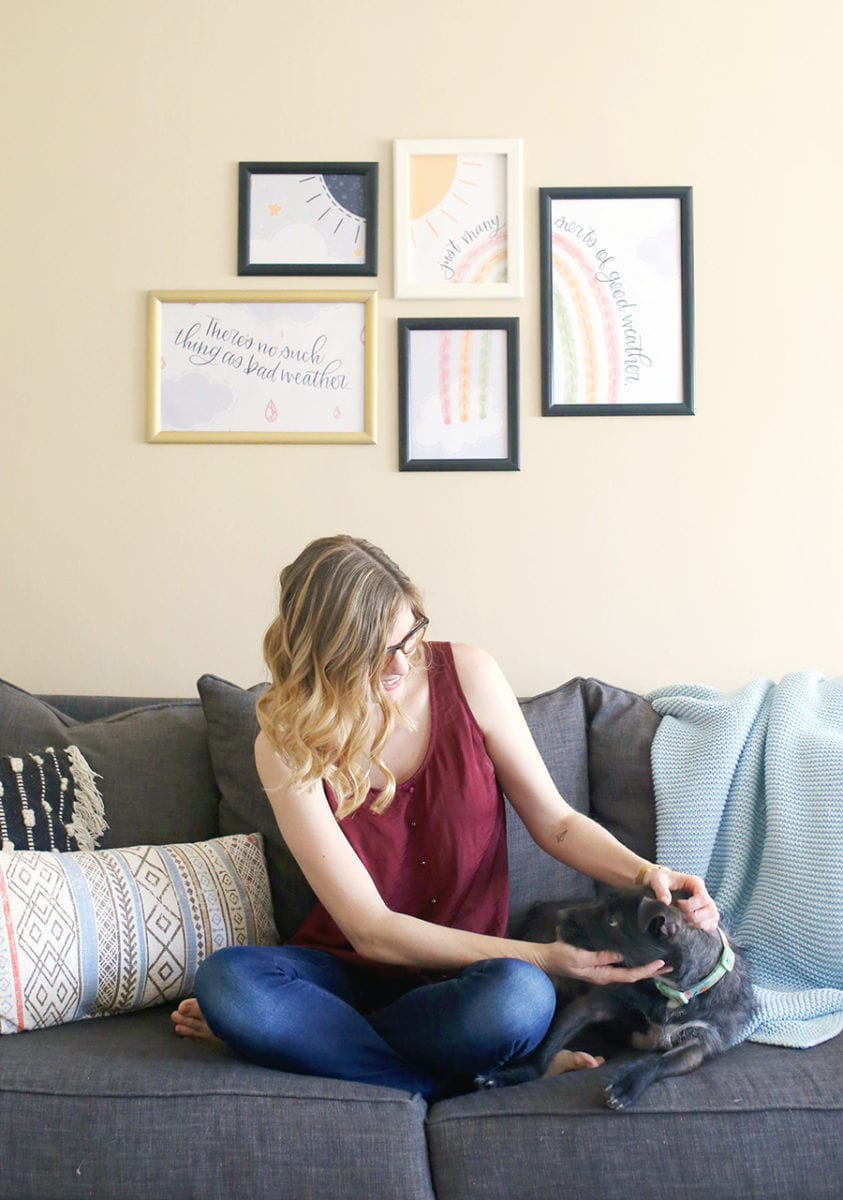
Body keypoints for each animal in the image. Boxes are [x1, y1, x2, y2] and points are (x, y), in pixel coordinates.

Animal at [477, 888, 754, 1108]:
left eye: (613, 921)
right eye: (603, 904)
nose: (559, 917)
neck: (671, 991)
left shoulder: (701, 1041)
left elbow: (659, 1062)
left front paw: (627, 1085)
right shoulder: (596, 1003)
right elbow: (546, 1047)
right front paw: (513, 1074)